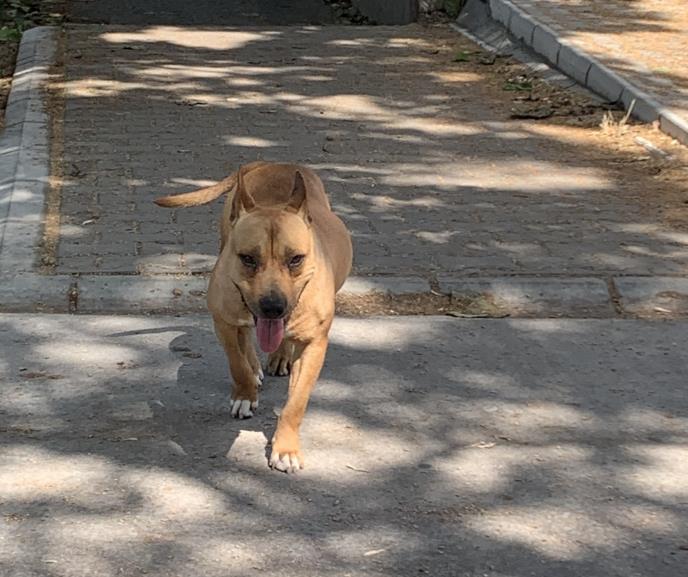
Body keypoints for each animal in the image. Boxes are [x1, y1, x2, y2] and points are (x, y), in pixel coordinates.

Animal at [155, 162, 352, 473]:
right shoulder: (223, 321)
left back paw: (280, 357)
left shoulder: (314, 345)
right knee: (246, 337)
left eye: (296, 259)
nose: (272, 306)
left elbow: (296, 403)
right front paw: (245, 395)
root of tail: (273, 163)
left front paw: (286, 448)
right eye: (247, 258)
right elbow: (237, 363)